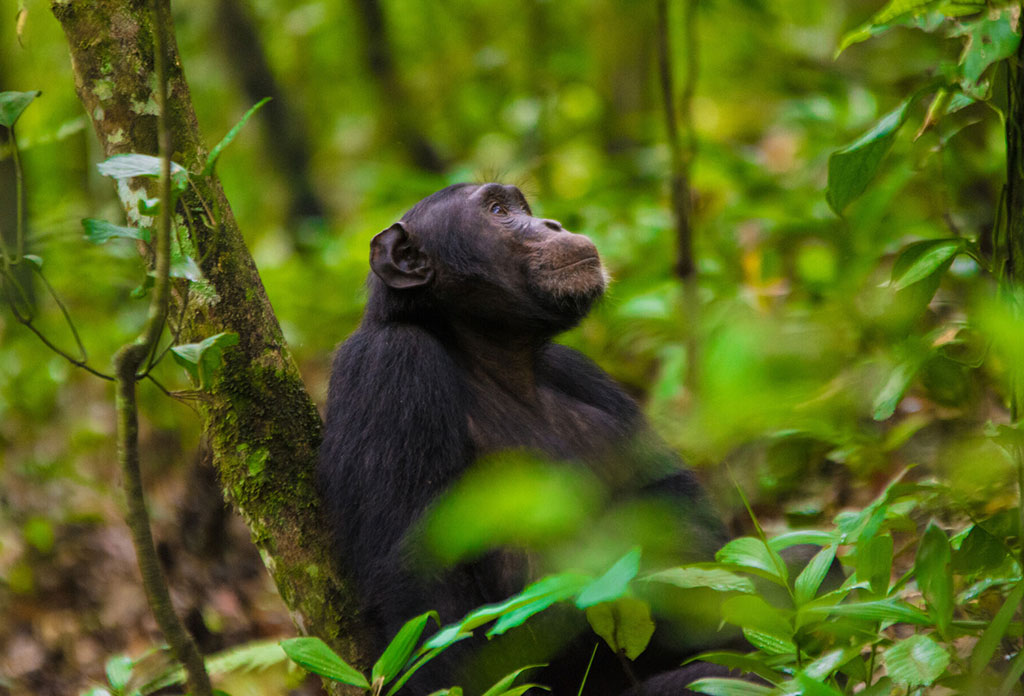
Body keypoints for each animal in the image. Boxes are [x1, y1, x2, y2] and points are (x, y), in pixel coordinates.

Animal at [319, 185, 737, 696]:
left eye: (522, 208)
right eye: (498, 211)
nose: (552, 224)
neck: (491, 355)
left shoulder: (578, 369)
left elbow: (685, 518)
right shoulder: (390, 364)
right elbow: (423, 587)